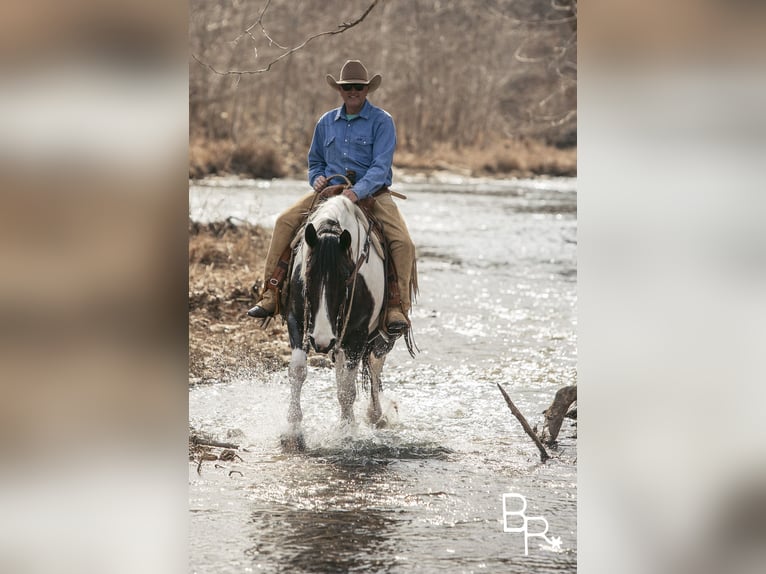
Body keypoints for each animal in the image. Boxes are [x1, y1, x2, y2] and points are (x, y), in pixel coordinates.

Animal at [282, 196, 402, 448]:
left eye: (346, 277)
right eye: (307, 274)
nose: (321, 340)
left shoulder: (357, 335)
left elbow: (347, 389)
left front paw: (347, 432)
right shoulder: (296, 321)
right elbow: (298, 371)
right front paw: (293, 432)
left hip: (382, 338)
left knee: (374, 365)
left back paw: (376, 415)